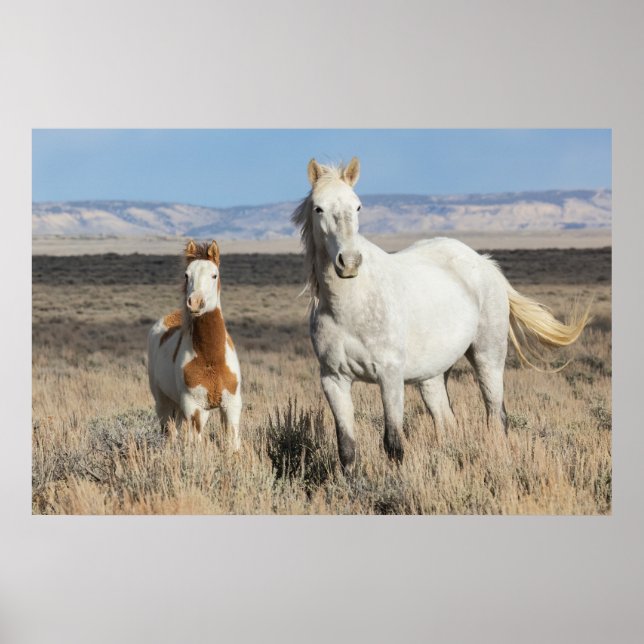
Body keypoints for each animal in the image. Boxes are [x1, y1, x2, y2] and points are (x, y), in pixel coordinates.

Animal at [147, 240, 242, 449]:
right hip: (164, 404)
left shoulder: (231, 406)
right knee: (169, 433)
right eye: (186, 275)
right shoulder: (194, 408)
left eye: (214, 275)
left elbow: (232, 444)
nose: (196, 303)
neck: (211, 359)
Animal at [292, 157, 590, 472]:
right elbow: (347, 449)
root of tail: (485, 263)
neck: (350, 306)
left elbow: (393, 444)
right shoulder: (334, 380)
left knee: (496, 416)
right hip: (432, 376)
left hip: (488, 357)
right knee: (448, 422)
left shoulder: (390, 376)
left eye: (358, 206)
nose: (349, 262)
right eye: (318, 208)